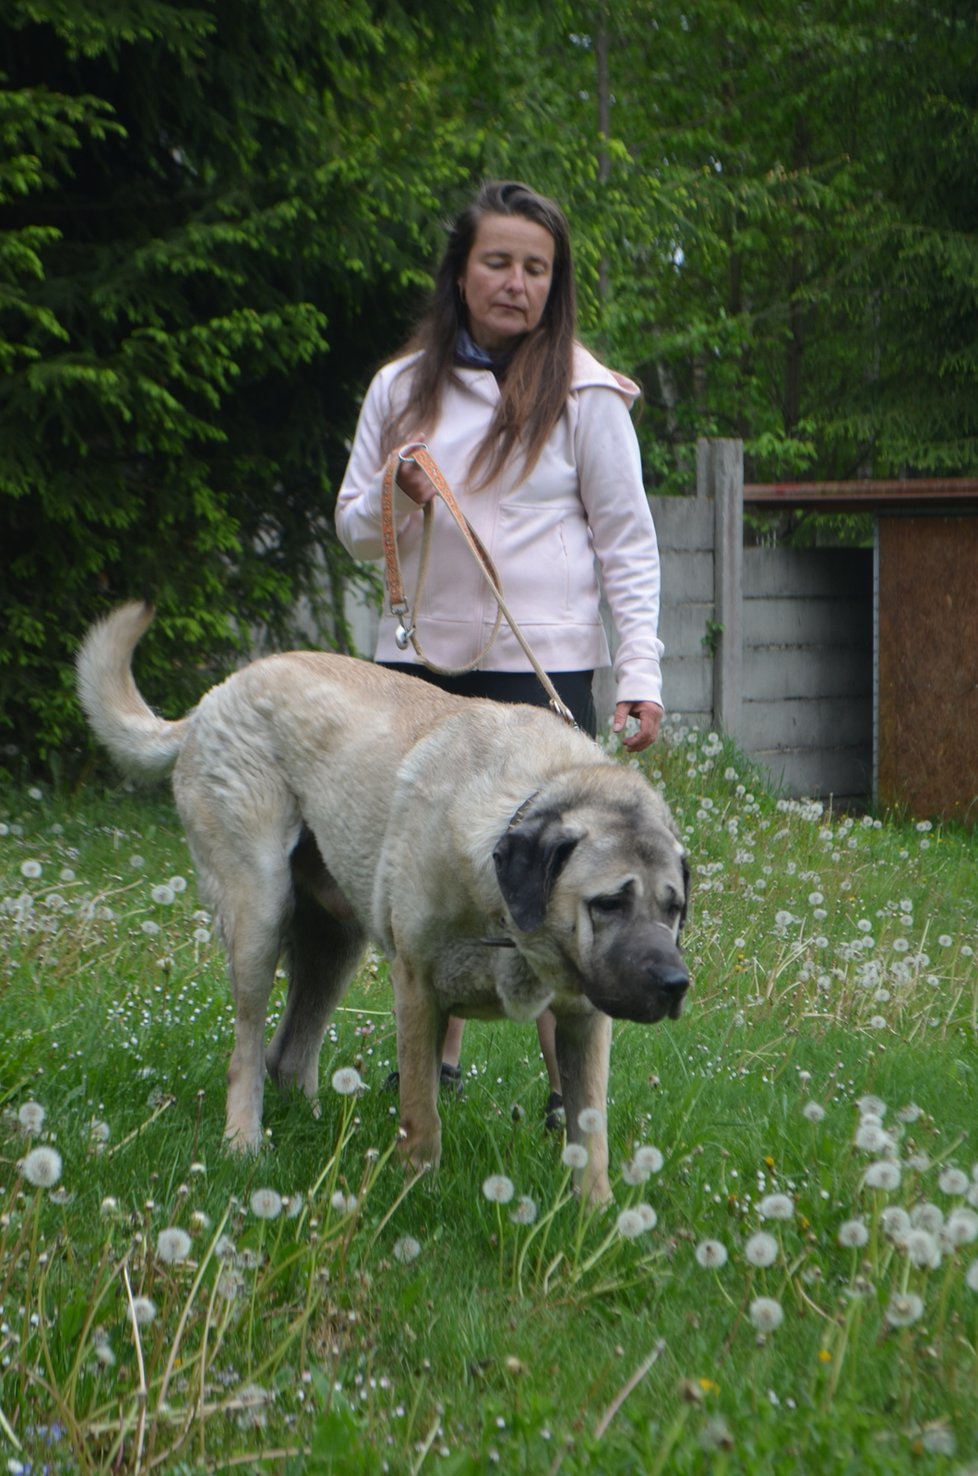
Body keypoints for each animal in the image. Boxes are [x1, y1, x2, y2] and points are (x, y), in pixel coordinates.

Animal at [78, 599, 687, 1198]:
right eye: (607, 903)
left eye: (674, 908)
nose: (675, 984)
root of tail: (212, 699)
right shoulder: (417, 989)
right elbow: (422, 1111)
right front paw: (415, 1193)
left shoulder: (583, 1019)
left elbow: (591, 1130)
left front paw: (595, 1211)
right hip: (259, 914)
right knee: (247, 1051)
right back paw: (244, 1142)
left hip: (333, 944)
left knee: (289, 1054)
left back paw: (314, 1131)